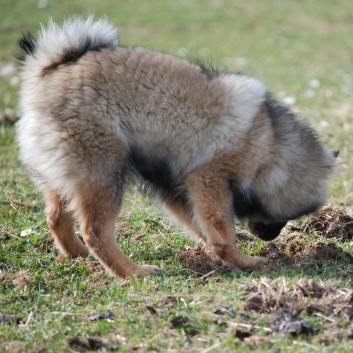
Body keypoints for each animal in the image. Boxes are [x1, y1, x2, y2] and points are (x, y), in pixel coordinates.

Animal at [16, 17, 336, 278]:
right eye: (289, 217)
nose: (270, 239)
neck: (270, 147)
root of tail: (47, 71)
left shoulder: (176, 187)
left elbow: (200, 226)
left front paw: (219, 253)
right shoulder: (209, 181)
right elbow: (222, 232)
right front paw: (244, 261)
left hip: (69, 177)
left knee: (56, 217)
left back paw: (78, 255)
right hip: (103, 173)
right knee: (95, 232)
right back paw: (132, 272)